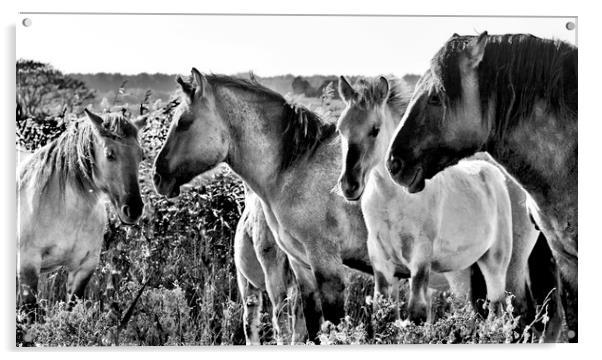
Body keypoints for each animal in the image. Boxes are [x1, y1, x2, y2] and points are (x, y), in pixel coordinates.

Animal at [17, 108, 146, 316]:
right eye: (110, 154)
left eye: (141, 156)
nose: (133, 209)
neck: (66, 213)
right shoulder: (28, 265)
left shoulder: (84, 268)